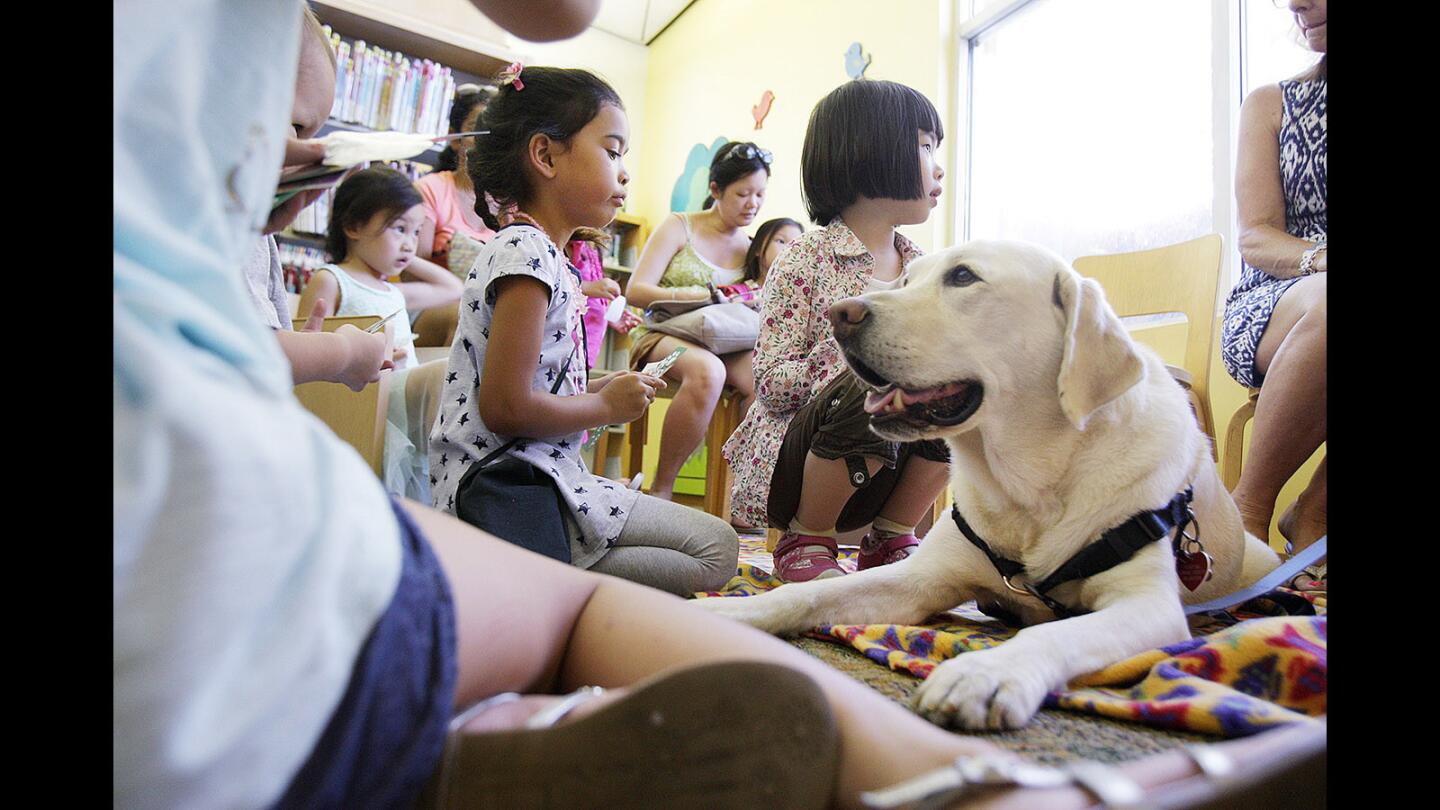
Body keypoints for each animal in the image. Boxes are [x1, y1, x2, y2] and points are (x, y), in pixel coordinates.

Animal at [702, 237, 1278, 726]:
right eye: (906, 279)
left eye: (963, 276)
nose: (840, 314)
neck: (1032, 487)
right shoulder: (921, 578)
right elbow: (809, 593)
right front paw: (731, 610)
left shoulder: (1146, 605)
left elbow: (1063, 633)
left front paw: (986, 671)